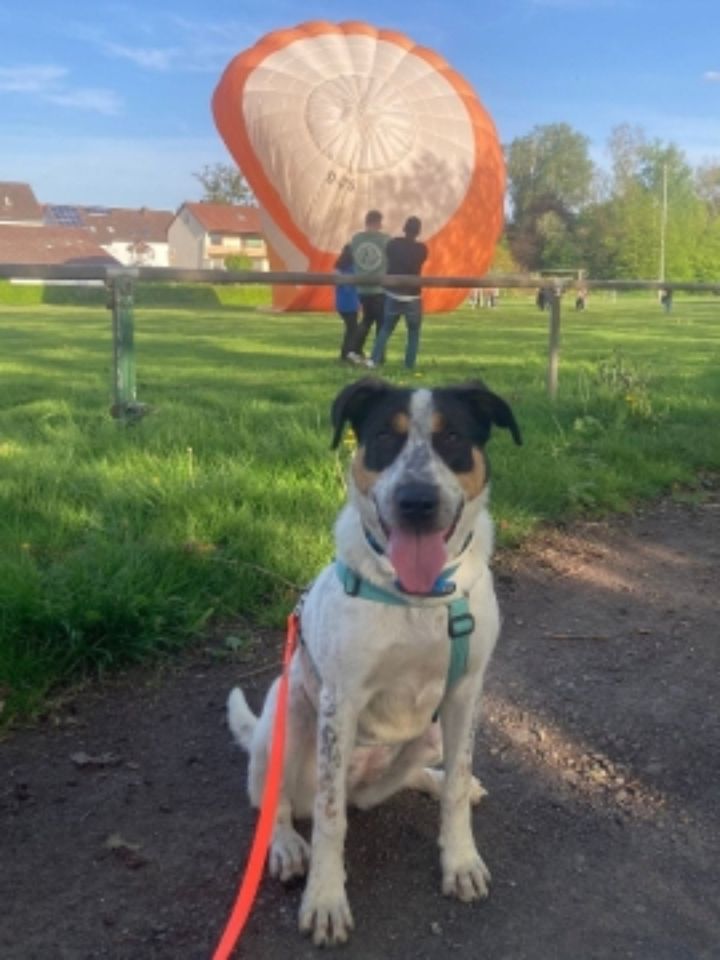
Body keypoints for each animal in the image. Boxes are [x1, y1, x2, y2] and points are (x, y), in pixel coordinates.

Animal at [231, 376, 524, 944]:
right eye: (386, 438)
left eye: (451, 437)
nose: (417, 501)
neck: (420, 597)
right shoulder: (339, 702)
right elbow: (329, 820)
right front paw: (325, 898)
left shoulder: (466, 691)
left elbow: (457, 786)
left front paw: (460, 861)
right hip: (286, 715)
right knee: (274, 801)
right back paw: (285, 844)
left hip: (428, 734)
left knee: (404, 783)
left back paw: (428, 779)